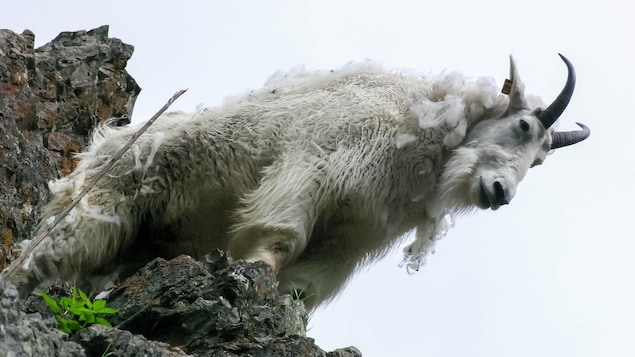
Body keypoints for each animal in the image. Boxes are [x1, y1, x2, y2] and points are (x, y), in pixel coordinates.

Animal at [6, 52, 592, 308]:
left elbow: (306, 287)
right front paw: (251, 277)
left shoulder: (354, 234)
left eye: (541, 161)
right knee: (46, 257)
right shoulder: (311, 169)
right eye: (523, 126)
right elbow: (278, 239)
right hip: (100, 206)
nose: (500, 194)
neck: (417, 125)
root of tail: (100, 147)